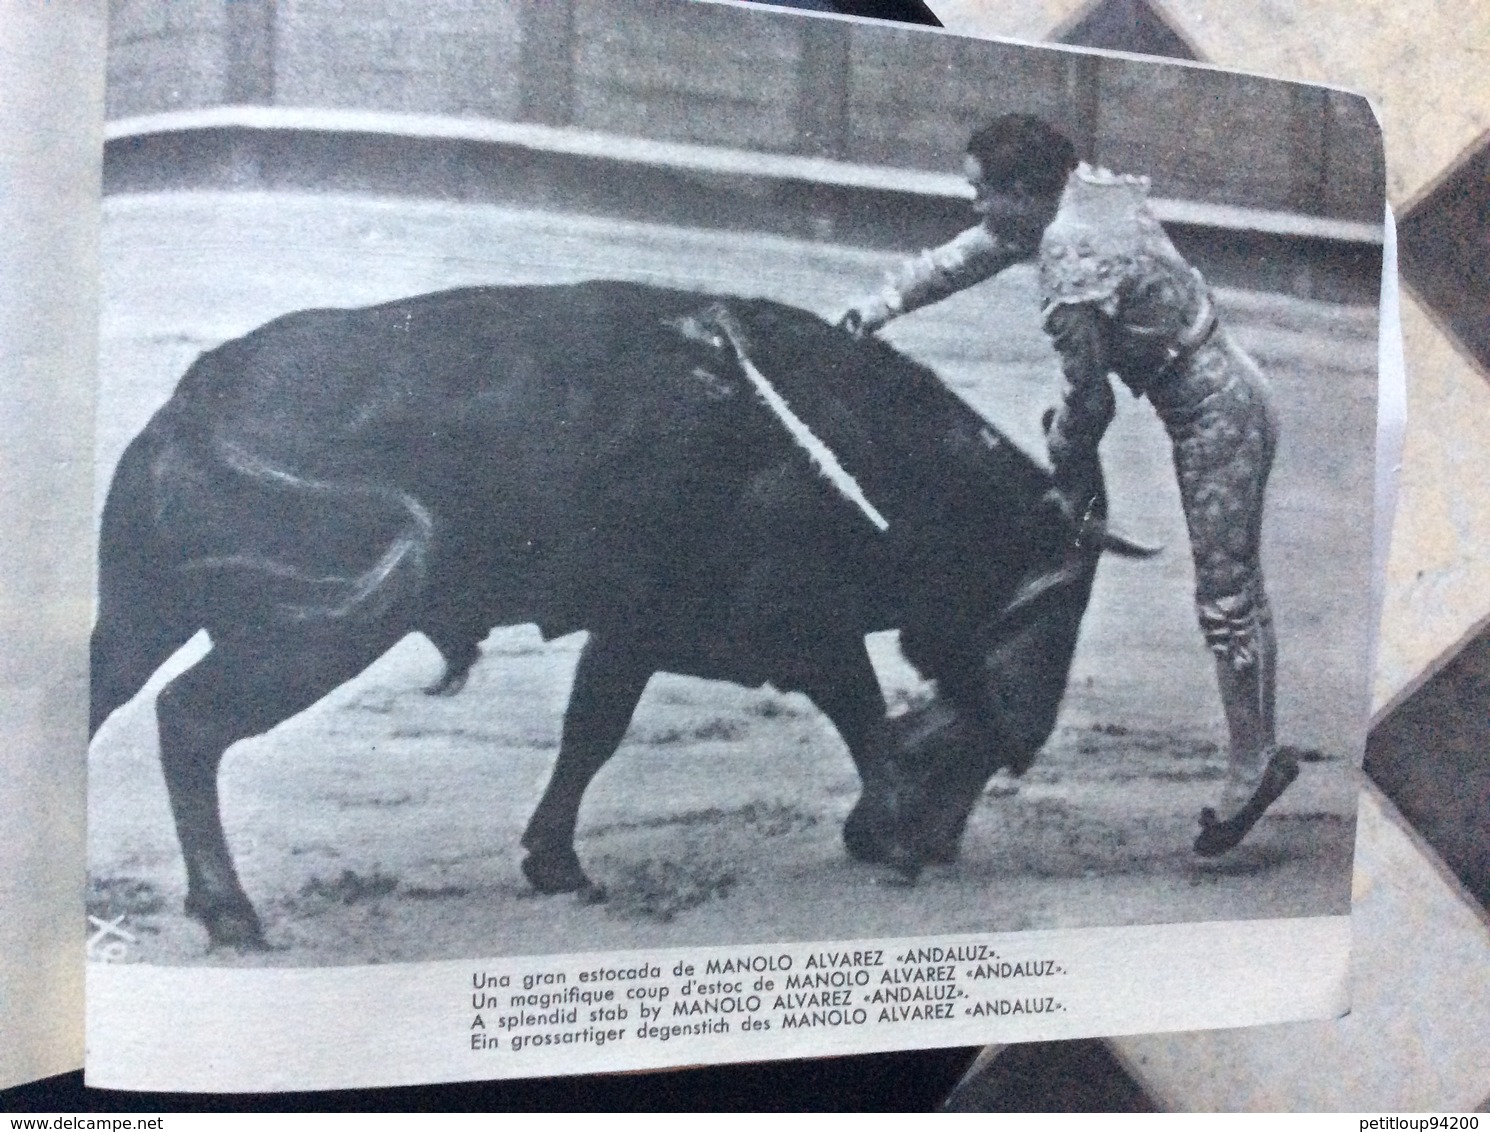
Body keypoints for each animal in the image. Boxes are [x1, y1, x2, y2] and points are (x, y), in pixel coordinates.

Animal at [90, 281, 1138, 947]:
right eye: (985, 744)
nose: (944, 846)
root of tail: (199, 396)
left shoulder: (634, 630)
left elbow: (592, 730)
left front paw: (556, 864)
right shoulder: (784, 630)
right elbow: (864, 715)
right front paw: (892, 840)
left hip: (143, 614)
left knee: (100, 697)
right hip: (317, 636)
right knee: (188, 720)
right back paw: (229, 912)